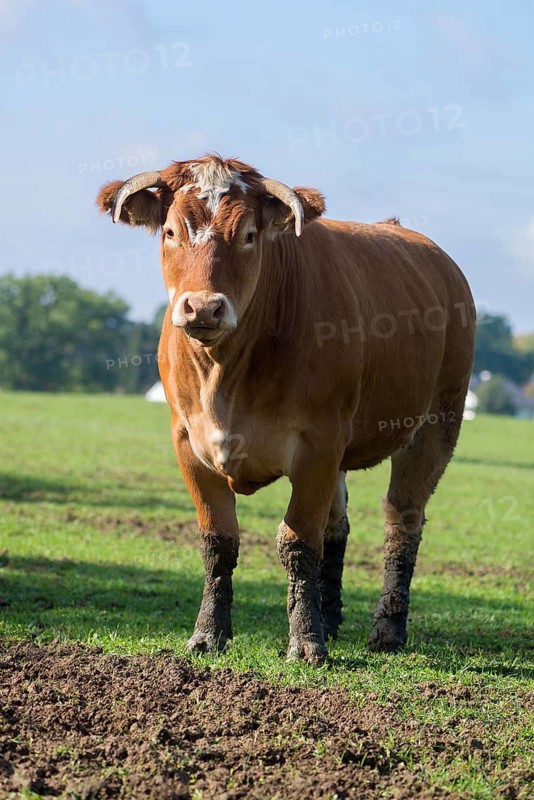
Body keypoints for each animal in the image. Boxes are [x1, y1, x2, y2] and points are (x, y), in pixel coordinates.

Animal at [97, 155, 475, 665]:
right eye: (171, 232)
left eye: (248, 235)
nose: (204, 308)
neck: (226, 375)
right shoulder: (189, 444)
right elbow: (218, 542)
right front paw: (209, 634)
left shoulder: (317, 446)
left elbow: (297, 543)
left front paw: (306, 642)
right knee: (337, 525)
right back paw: (330, 618)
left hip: (435, 428)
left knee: (403, 520)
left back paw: (388, 630)